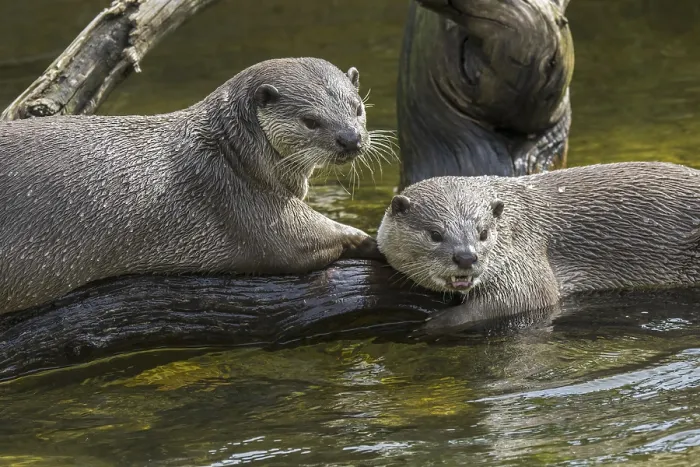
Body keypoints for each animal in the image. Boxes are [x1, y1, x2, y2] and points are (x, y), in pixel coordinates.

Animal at [0, 57, 385, 314]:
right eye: (310, 120)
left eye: (358, 108)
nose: (351, 139)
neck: (231, 154)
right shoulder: (238, 199)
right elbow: (302, 238)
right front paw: (371, 242)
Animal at [377, 162, 700, 334]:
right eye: (435, 234)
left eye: (483, 233)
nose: (466, 257)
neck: (514, 223)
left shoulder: (525, 258)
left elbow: (527, 298)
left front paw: (436, 322)